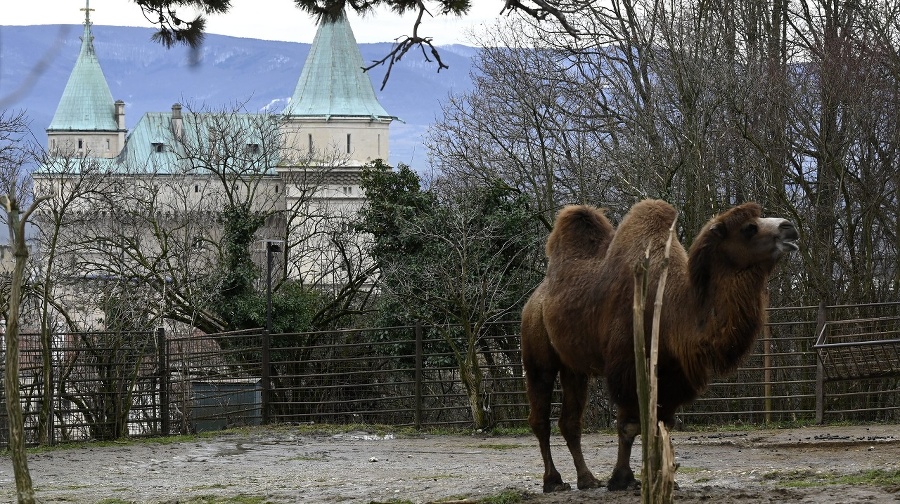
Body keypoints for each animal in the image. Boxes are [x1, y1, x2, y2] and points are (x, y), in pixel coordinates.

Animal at [520, 200, 800, 492]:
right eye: (749, 228)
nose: (789, 228)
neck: (671, 310)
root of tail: (534, 299)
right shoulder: (627, 367)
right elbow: (630, 425)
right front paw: (623, 479)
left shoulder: (672, 375)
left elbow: (660, 425)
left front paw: (662, 479)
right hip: (537, 351)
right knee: (540, 418)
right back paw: (553, 481)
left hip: (573, 367)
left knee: (570, 420)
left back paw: (587, 479)